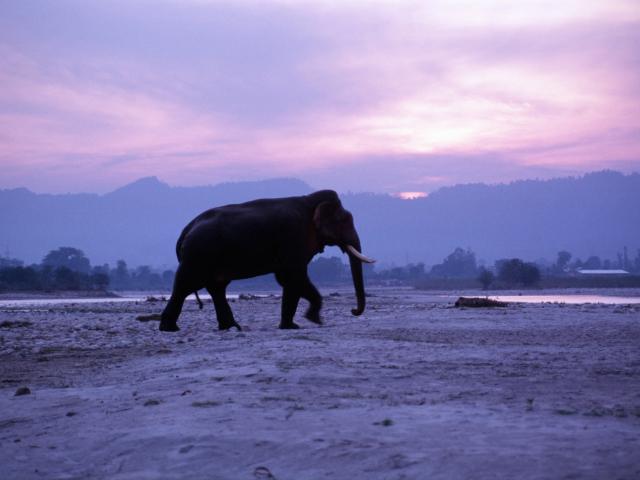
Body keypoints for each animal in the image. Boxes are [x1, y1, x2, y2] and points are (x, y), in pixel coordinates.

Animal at [159, 190, 375, 331]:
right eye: (345, 221)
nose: (353, 310)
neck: (309, 200)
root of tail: (186, 230)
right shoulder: (293, 235)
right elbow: (294, 275)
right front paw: (314, 320)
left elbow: (288, 279)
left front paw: (290, 326)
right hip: (198, 255)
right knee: (185, 285)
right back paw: (170, 328)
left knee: (216, 287)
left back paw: (233, 327)